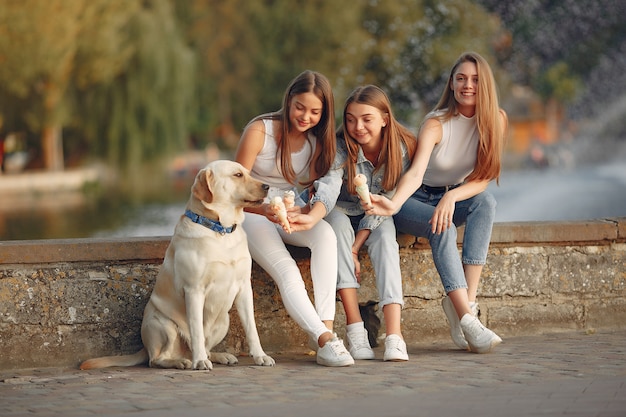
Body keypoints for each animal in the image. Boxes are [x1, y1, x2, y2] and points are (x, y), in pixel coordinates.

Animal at [78, 160, 272, 370]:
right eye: (237, 175)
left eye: (247, 172)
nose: (267, 186)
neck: (220, 230)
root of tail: (145, 348)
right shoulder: (194, 290)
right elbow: (196, 330)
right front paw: (199, 361)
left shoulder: (244, 287)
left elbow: (252, 329)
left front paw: (260, 356)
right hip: (164, 325)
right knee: (157, 359)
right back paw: (183, 361)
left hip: (224, 321)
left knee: (206, 348)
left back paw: (219, 356)